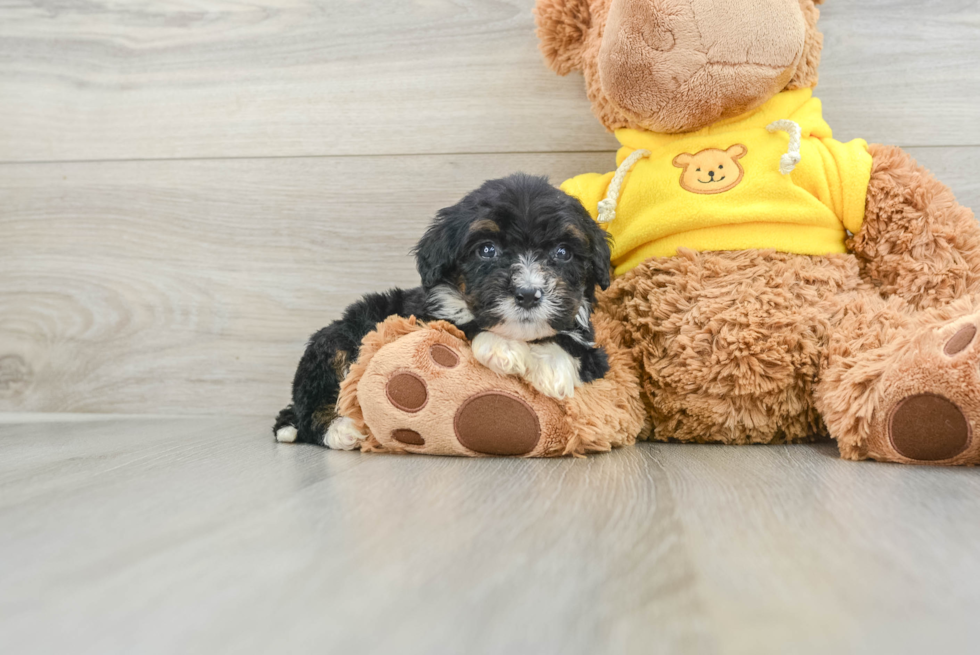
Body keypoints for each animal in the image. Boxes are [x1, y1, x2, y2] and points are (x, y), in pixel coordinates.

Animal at [276, 173, 608, 452]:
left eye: (562, 252)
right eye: (487, 250)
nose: (528, 294)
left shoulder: (595, 351)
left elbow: (574, 346)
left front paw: (551, 371)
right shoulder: (429, 317)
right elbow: (467, 326)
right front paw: (503, 349)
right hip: (332, 344)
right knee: (311, 404)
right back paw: (341, 430)